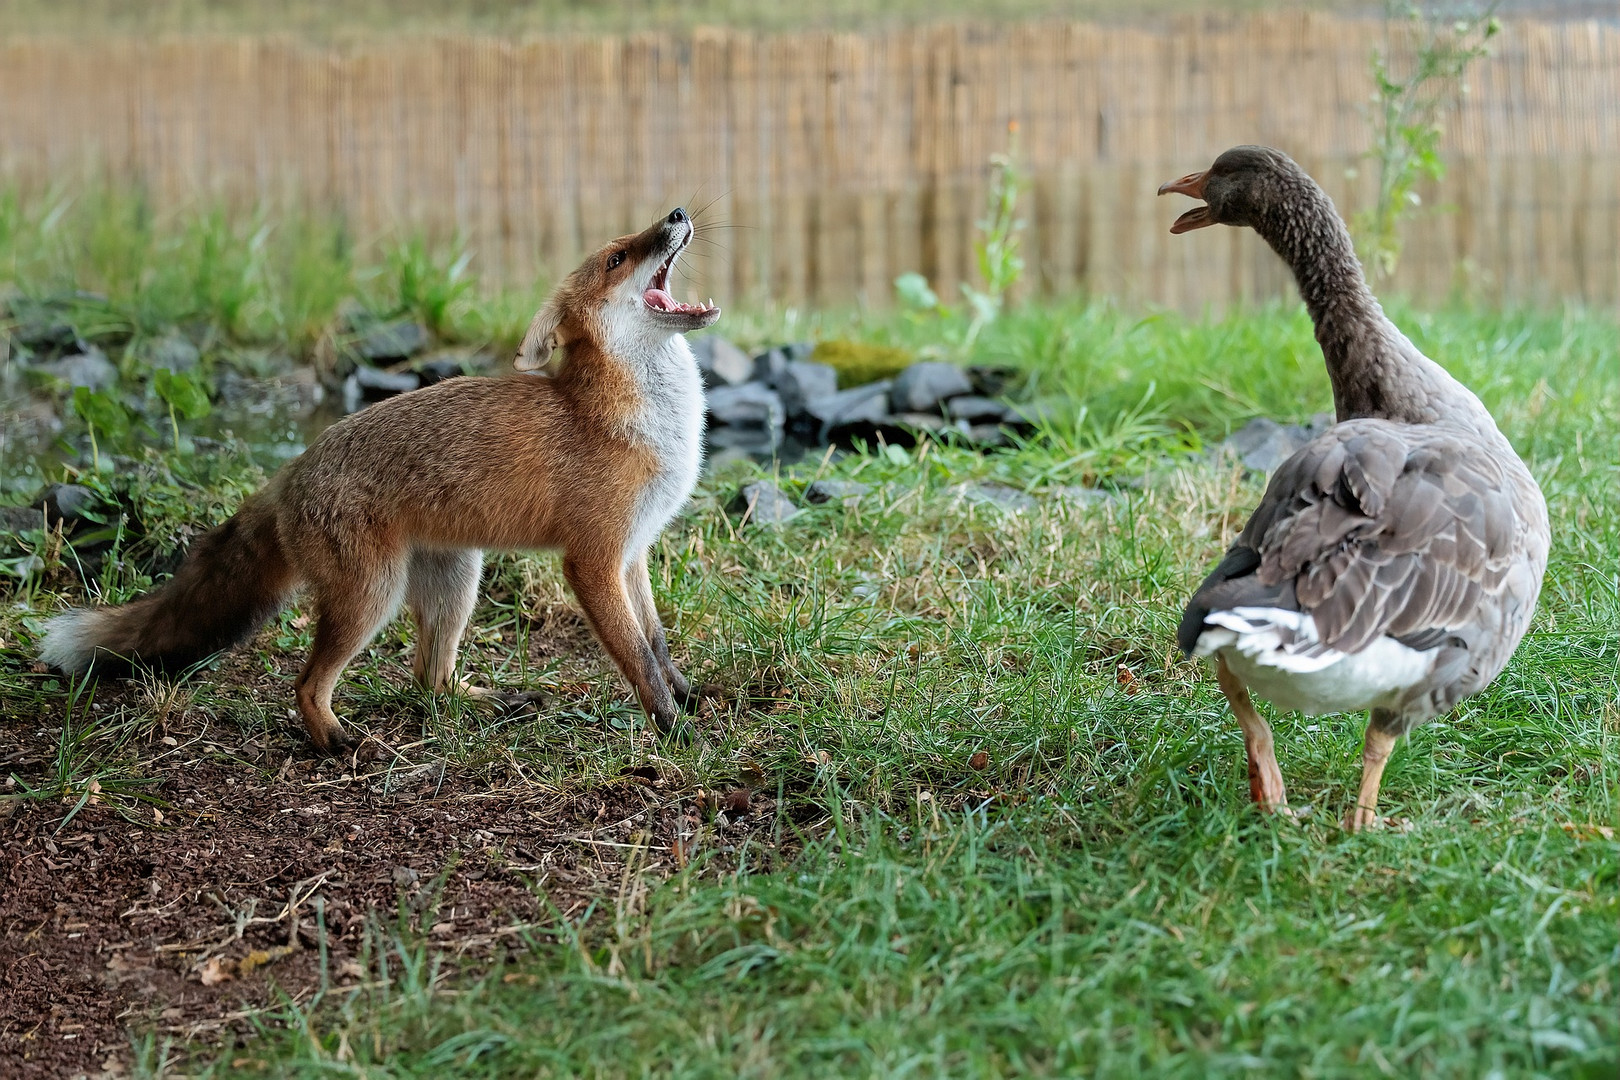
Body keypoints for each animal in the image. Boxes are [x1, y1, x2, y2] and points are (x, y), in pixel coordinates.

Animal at [41, 207, 722, 757]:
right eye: (617, 258)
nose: (676, 212)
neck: (639, 421)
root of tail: (294, 467)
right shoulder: (592, 559)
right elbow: (637, 657)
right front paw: (672, 728)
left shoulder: (633, 552)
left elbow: (657, 643)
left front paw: (687, 697)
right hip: (373, 594)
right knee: (307, 682)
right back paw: (333, 740)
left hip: (456, 580)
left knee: (429, 677)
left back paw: (477, 701)